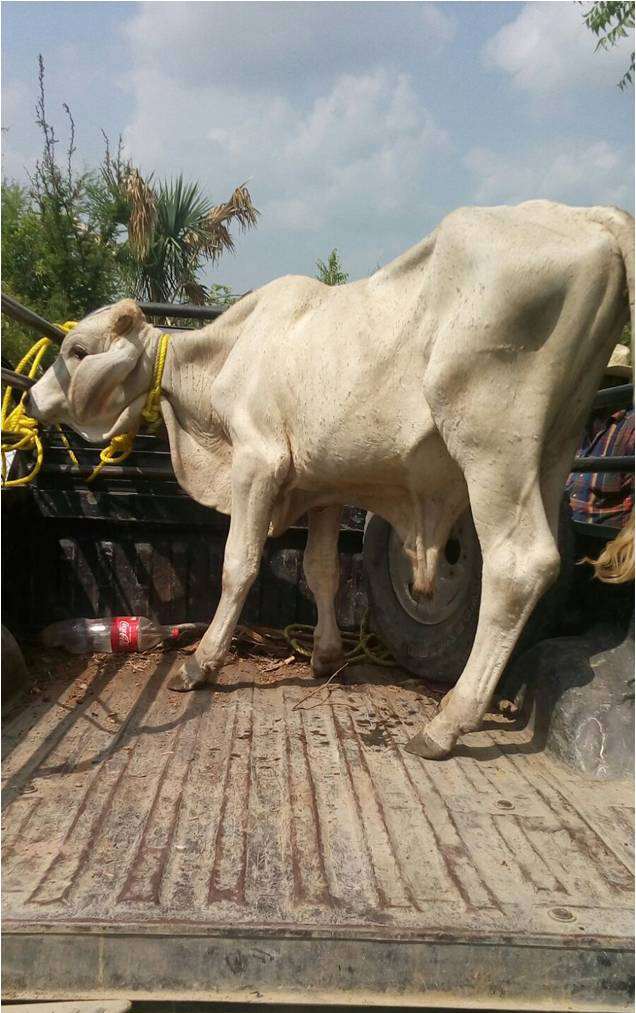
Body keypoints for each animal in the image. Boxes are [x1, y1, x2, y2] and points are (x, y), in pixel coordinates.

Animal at [27, 201, 631, 757]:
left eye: (77, 350)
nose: (30, 400)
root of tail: (589, 217)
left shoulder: (258, 462)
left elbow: (237, 565)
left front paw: (201, 664)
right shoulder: (322, 488)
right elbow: (321, 569)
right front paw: (325, 654)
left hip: (491, 446)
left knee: (519, 565)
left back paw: (448, 722)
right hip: (554, 447)